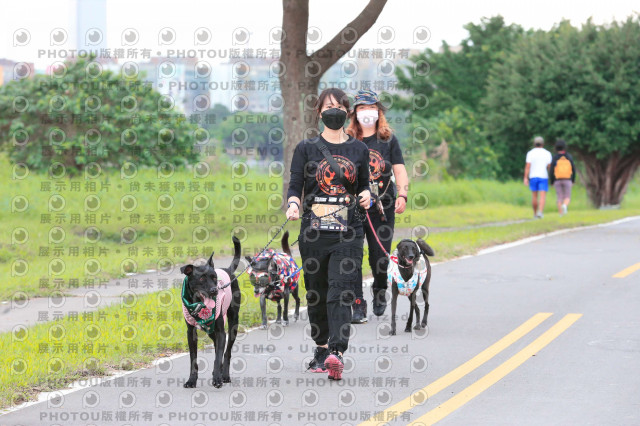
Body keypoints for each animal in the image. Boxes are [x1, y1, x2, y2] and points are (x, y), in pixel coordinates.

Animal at [180, 236, 241, 388]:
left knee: (227, 351)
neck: (198, 305)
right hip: (210, 329)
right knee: (217, 346)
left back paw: (224, 374)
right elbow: (193, 359)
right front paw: (191, 380)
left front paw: (217, 378)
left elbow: (219, 355)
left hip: (233, 323)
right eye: (201, 279)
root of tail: (228, 269)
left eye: (214, 278)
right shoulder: (191, 333)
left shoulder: (221, 332)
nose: (215, 291)